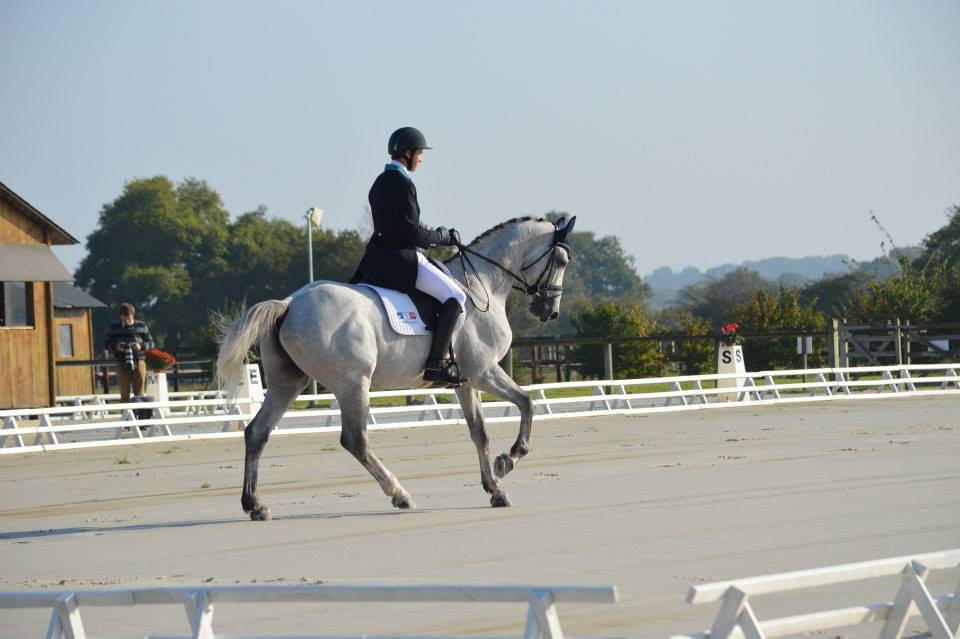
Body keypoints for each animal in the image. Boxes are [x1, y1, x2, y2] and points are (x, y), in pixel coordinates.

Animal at [218, 215, 572, 520]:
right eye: (561, 261)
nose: (549, 311)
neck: (481, 283)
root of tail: (289, 303)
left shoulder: (466, 382)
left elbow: (480, 433)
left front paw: (495, 489)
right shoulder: (484, 372)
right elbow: (527, 403)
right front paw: (508, 460)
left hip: (288, 384)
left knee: (257, 432)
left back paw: (255, 505)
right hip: (353, 383)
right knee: (355, 440)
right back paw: (399, 493)